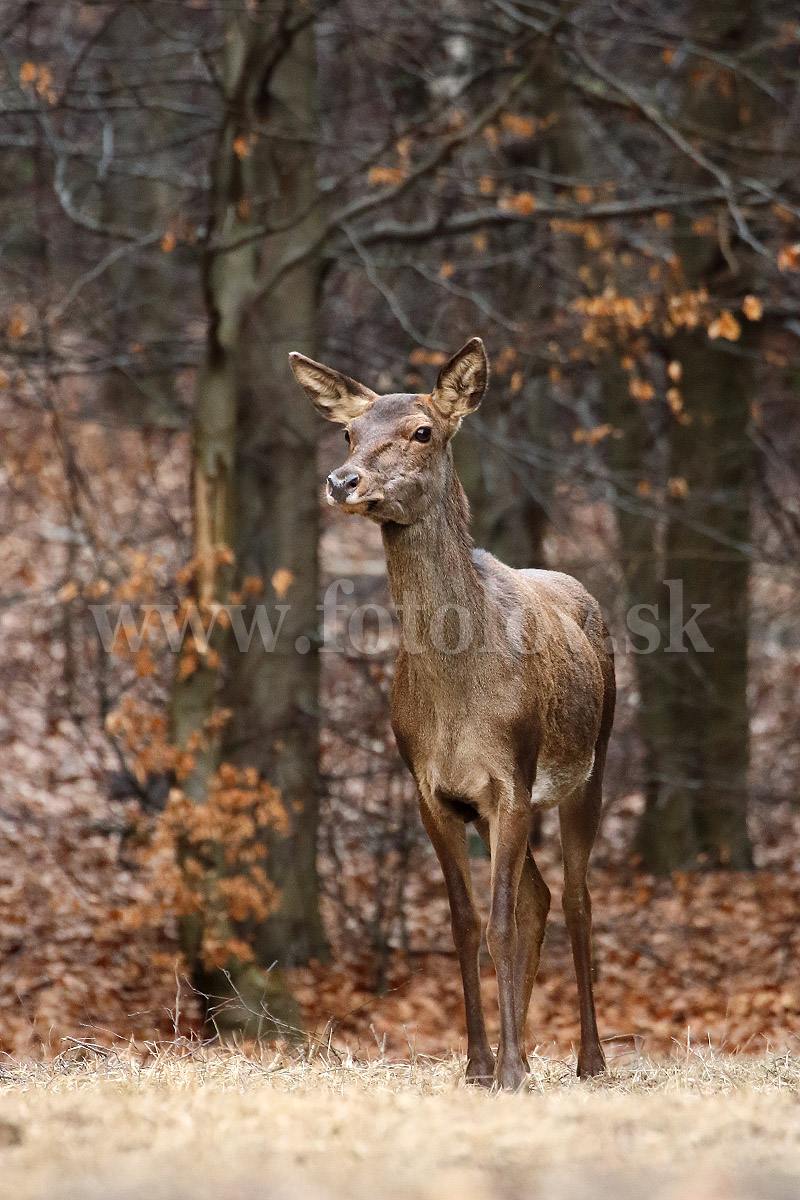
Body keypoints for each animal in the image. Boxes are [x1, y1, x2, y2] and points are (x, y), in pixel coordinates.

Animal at [291, 336, 618, 1089]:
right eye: (349, 431)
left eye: (422, 431)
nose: (342, 481)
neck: (458, 697)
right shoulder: (432, 790)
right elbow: (468, 923)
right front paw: (479, 1064)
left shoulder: (512, 777)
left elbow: (499, 923)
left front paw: (511, 1070)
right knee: (539, 898)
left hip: (592, 763)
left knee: (578, 899)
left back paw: (589, 1060)